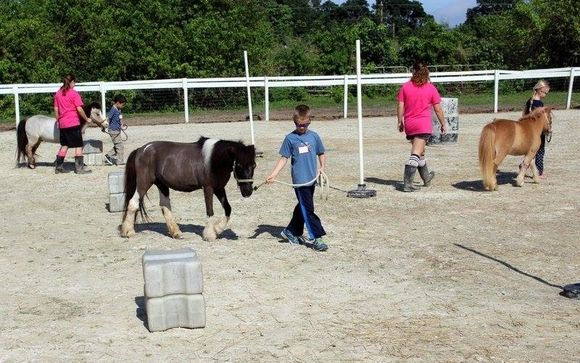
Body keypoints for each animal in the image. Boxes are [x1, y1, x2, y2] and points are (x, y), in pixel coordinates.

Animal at [120, 138, 256, 240]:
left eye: (253, 165)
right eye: (239, 165)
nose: (248, 191)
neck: (213, 159)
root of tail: (141, 150)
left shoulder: (219, 188)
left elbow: (228, 208)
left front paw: (217, 229)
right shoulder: (208, 188)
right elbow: (210, 210)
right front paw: (209, 234)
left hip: (162, 184)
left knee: (165, 206)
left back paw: (176, 233)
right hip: (144, 182)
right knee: (133, 203)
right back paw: (128, 232)